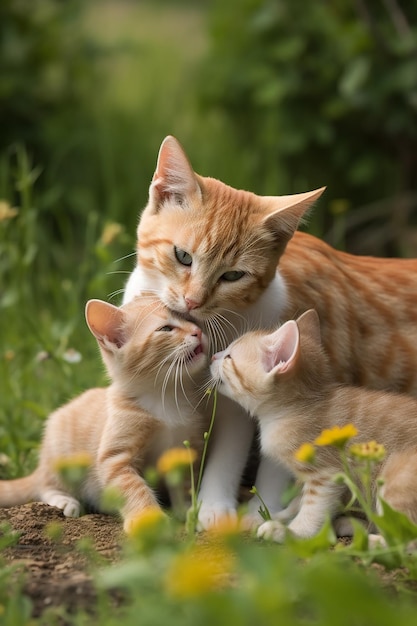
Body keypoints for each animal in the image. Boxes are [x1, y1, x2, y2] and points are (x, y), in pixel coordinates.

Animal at [0, 294, 208, 528]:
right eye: (166, 328)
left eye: (189, 319)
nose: (197, 331)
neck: (166, 397)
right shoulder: (115, 458)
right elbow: (132, 487)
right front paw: (148, 521)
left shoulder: (184, 450)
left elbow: (184, 483)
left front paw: (189, 512)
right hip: (61, 454)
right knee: (44, 485)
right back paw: (64, 501)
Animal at [211, 310, 417, 540]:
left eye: (229, 357)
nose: (213, 356)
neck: (296, 408)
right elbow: (297, 502)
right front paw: (274, 517)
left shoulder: (326, 474)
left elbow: (312, 510)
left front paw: (291, 532)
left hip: (395, 475)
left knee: (405, 538)